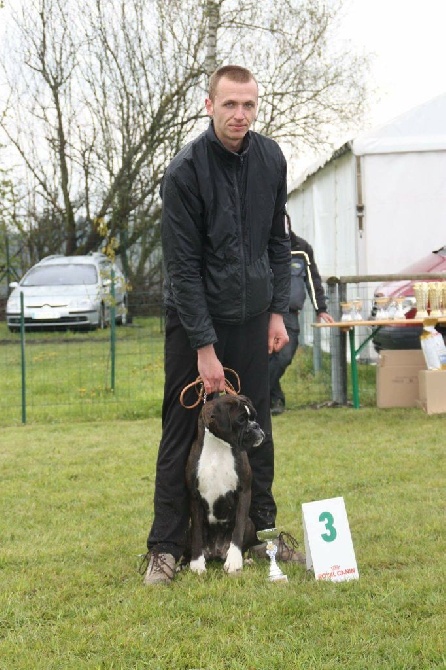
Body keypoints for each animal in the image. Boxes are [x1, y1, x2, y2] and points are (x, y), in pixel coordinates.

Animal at [186, 394, 264, 576]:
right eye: (241, 420)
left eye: (254, 417)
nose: (256, 426)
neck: (217, 448)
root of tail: (216, 552)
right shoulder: (194, 497)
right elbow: (197, 534)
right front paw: (197, 564)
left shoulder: (244, 492)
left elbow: (238, 529)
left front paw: (234, 561)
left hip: (251, 524)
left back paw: (246, 559)